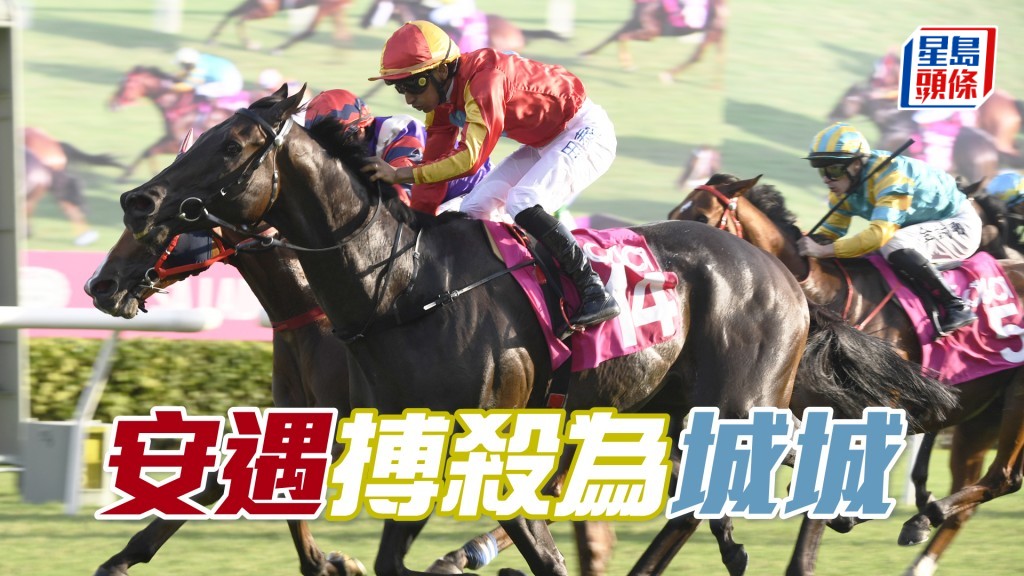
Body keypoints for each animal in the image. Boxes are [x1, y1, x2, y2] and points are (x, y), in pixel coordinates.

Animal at [109, 66, 248, 182]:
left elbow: (152, 151)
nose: (111, 104)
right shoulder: (169, 137)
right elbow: (147, 150)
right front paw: (126, 174)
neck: (176, 103)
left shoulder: (178, 142)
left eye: (126, 85)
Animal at [116, 87, 955, 575]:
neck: (400, 286)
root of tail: (782, 270)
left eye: (229, 145)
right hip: (676, 408)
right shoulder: (379, 428)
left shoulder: (478, 433)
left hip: (740, 403)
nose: (138, 199)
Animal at [206, 0, 353, 54]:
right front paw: (212, 38)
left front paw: (250, 43)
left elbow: (240, 19)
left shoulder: (268, 9)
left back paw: (278, 48)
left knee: (312, 31)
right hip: (332, 8)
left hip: (326, 7)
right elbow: (232, 13)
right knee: (342, 33)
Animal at [578, 0, 726, 82]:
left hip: (711, 31)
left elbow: (622, 37)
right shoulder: (634, 20)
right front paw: (586, 53)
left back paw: (668, 75)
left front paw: (627, 65)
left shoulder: (652, 32)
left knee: (697, 56)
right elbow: (614, 36)